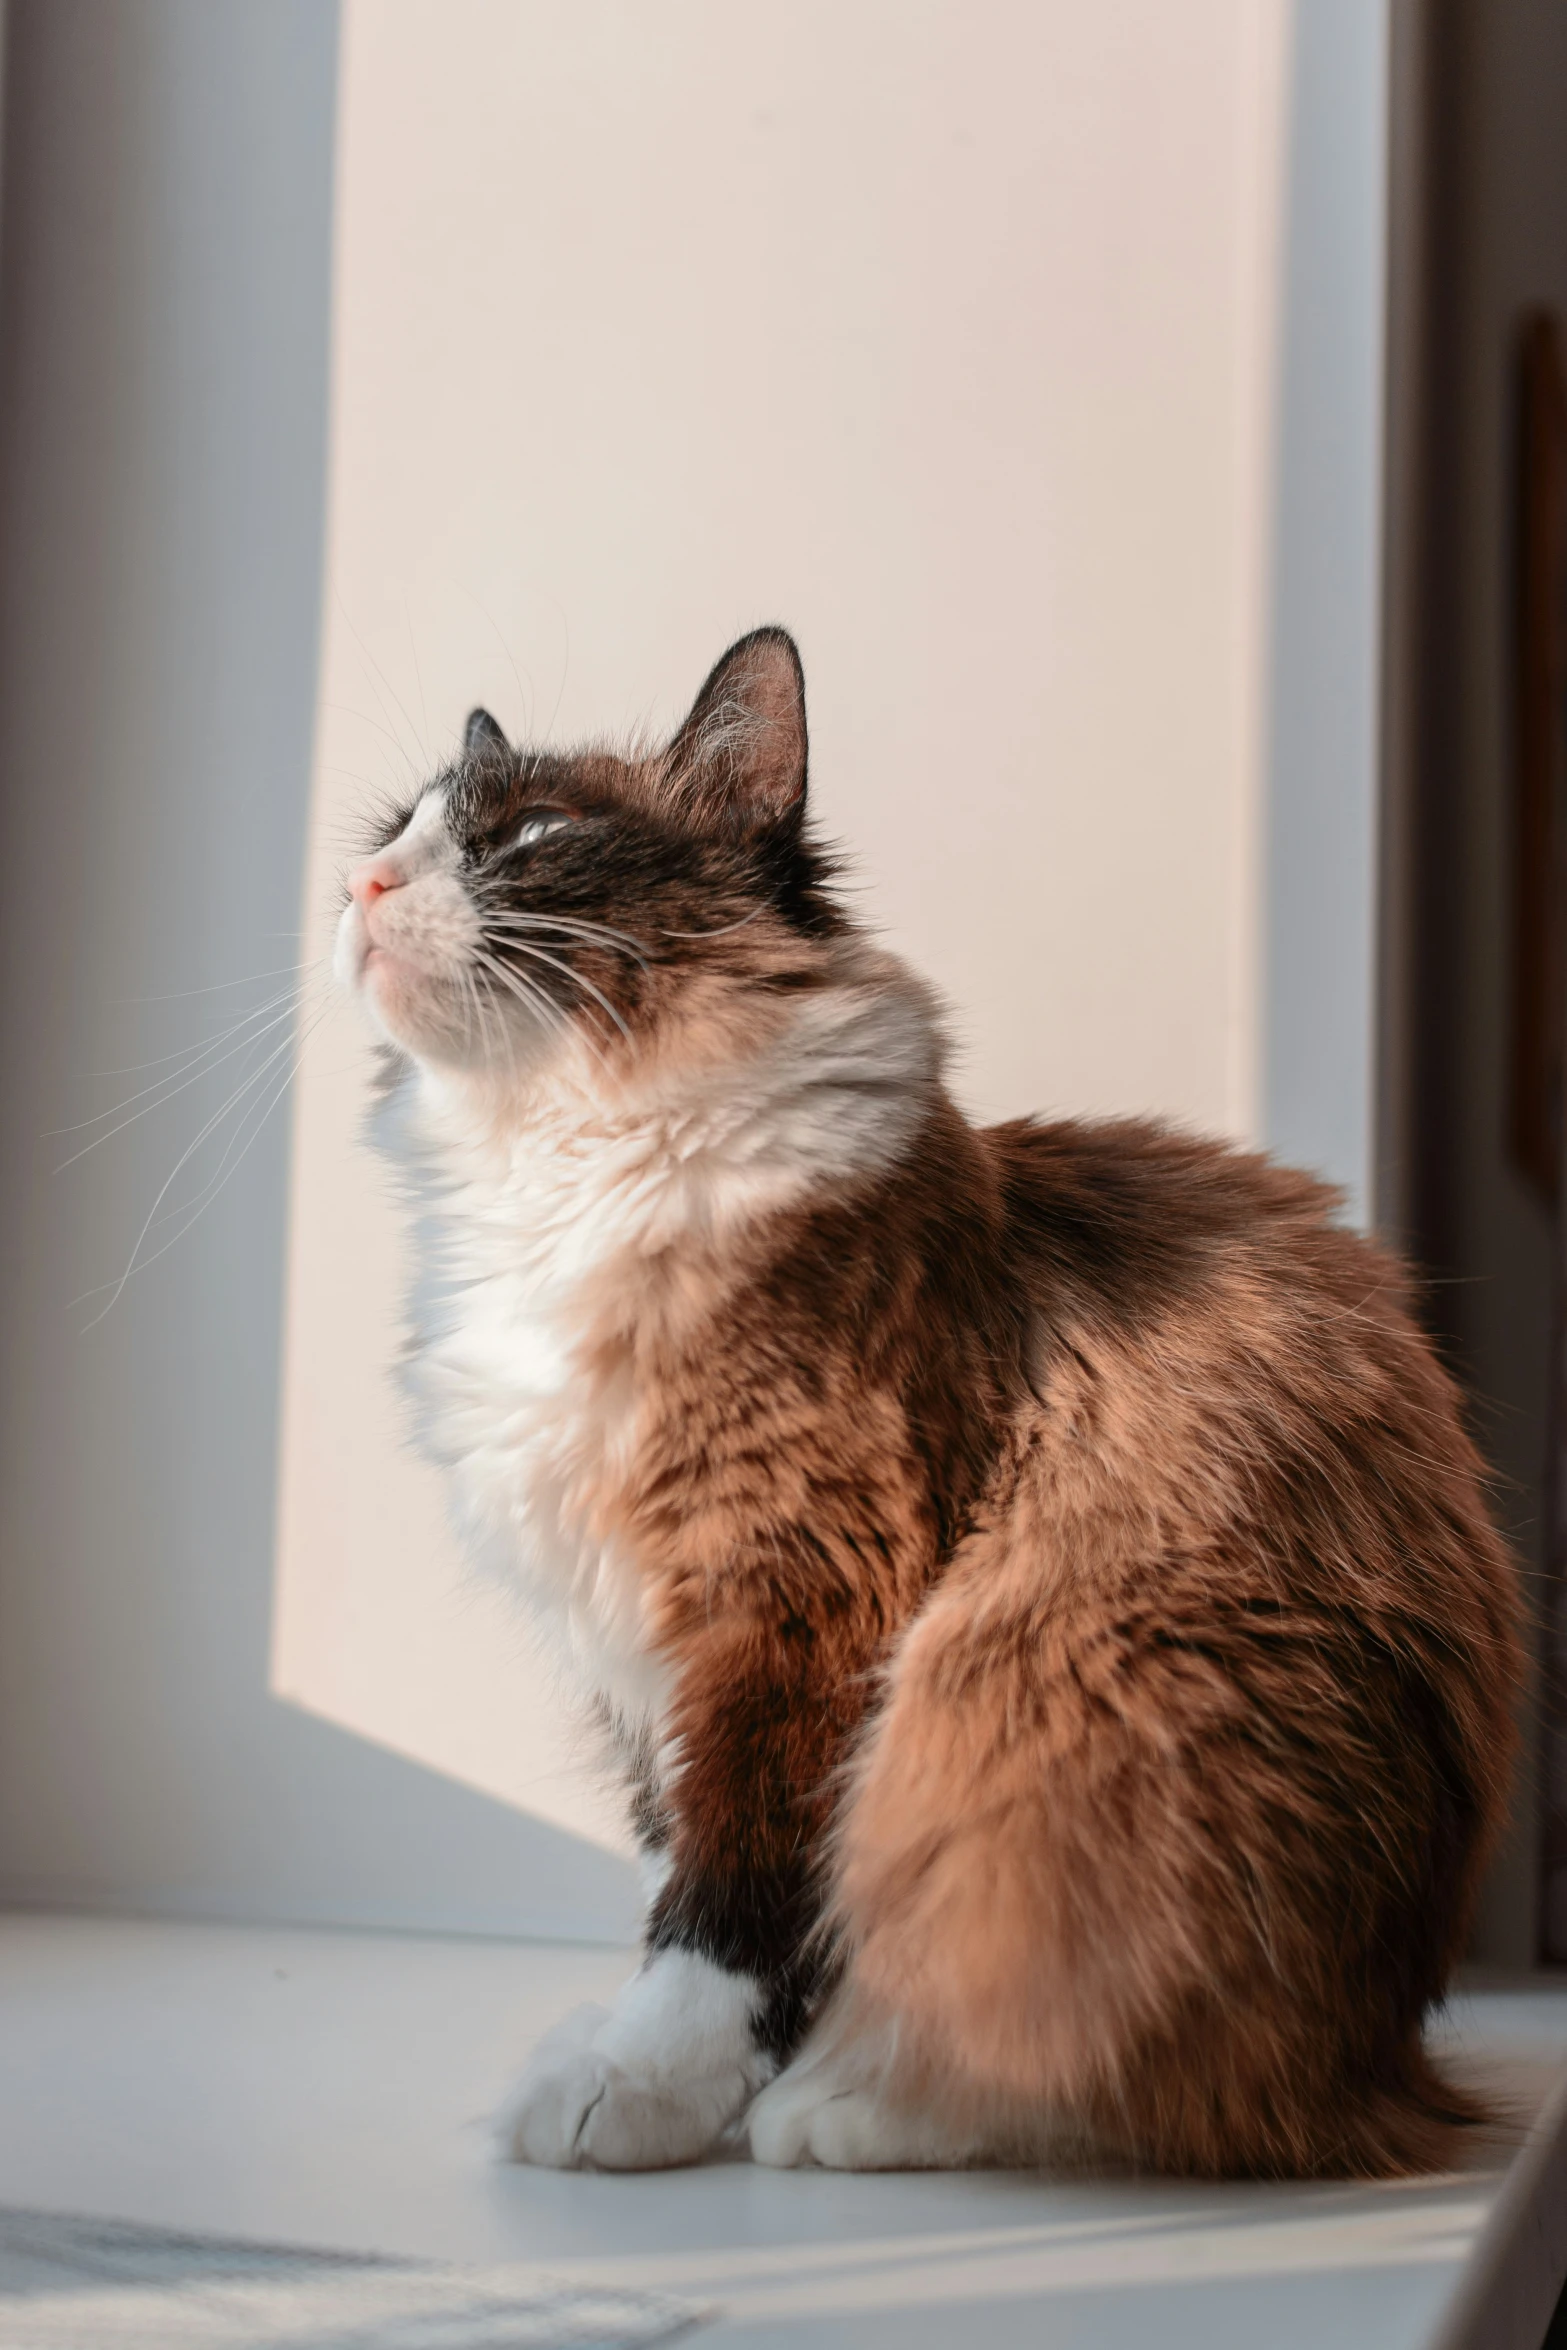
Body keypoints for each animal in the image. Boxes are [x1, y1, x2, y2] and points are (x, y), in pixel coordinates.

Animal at [333, 629, 1522, 2180]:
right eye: (393, 831)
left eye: (527, 834)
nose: (360, 887)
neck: (557, 1164)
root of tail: (1396, 2066)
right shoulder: (636, 1648)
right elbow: (691, 1858)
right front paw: (693, 2078)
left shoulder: (797, 1595)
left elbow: (732, 1900)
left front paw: (635, 2085)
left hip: (1058, 1678)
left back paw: (853, 2106)